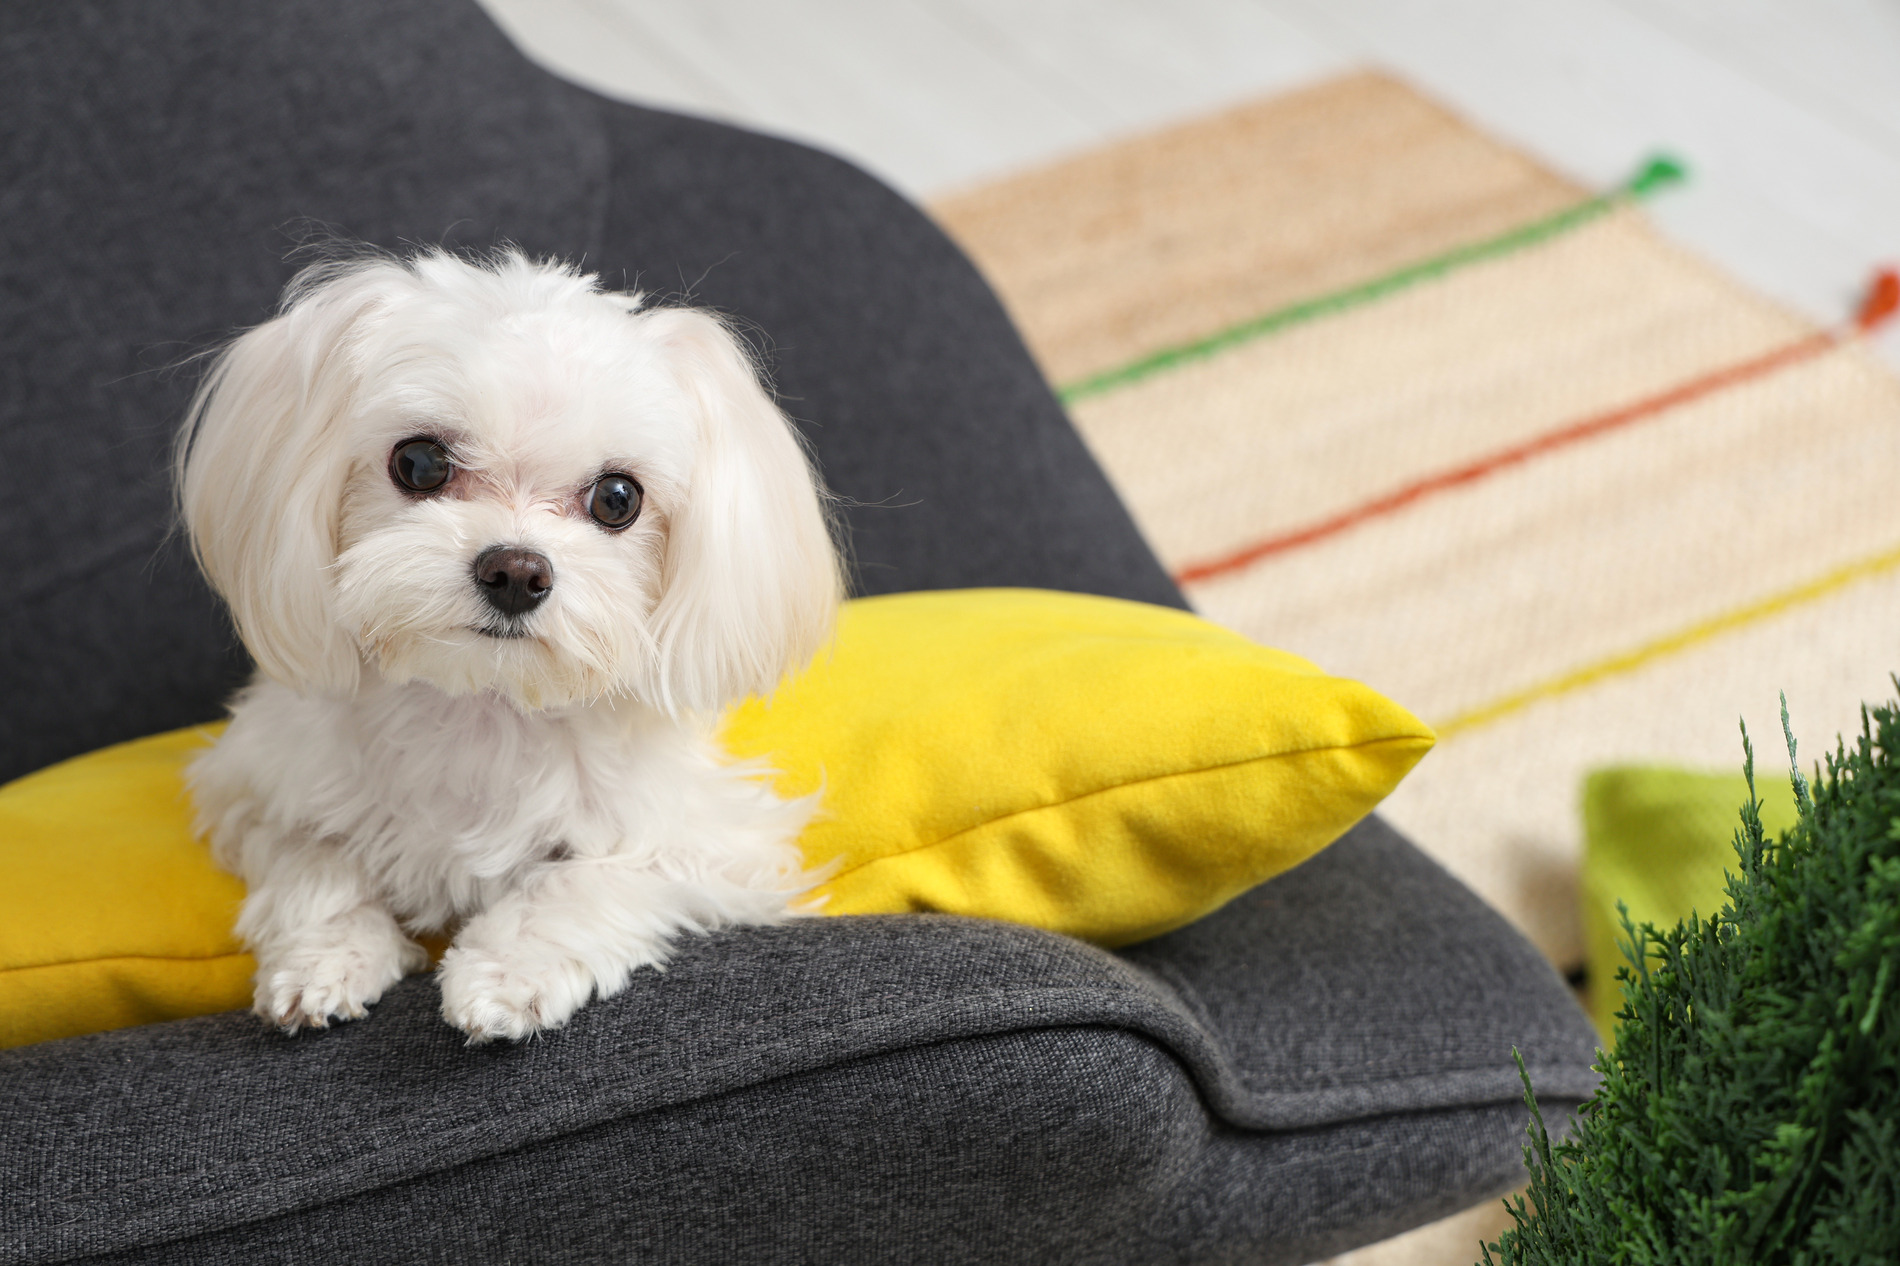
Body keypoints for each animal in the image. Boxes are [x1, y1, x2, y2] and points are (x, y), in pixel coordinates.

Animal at [176, 243, 839, 1034]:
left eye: (617, 498)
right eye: (420, 462)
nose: (517, 572)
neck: (484, 705)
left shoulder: (718, 846)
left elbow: (589, 879)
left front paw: (508, 968)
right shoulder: (250, 791)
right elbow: (314, 861)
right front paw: (326, 957)